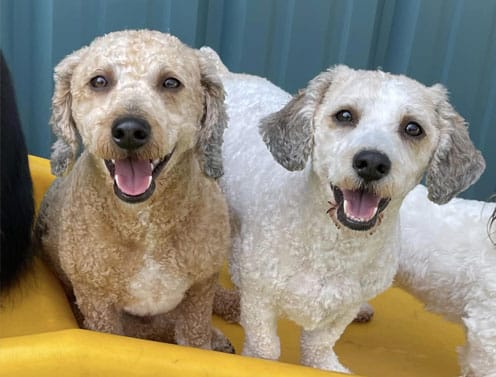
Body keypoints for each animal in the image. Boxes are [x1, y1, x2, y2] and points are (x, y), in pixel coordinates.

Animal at [209, 51, 484, 372]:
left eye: (413, 128)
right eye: (344, 115)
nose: (372, 163)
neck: (334, 248)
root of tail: (230, 73)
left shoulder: (342, 307)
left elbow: (318, 345)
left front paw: (323, 363)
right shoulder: (260, 299)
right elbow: (265, 347)